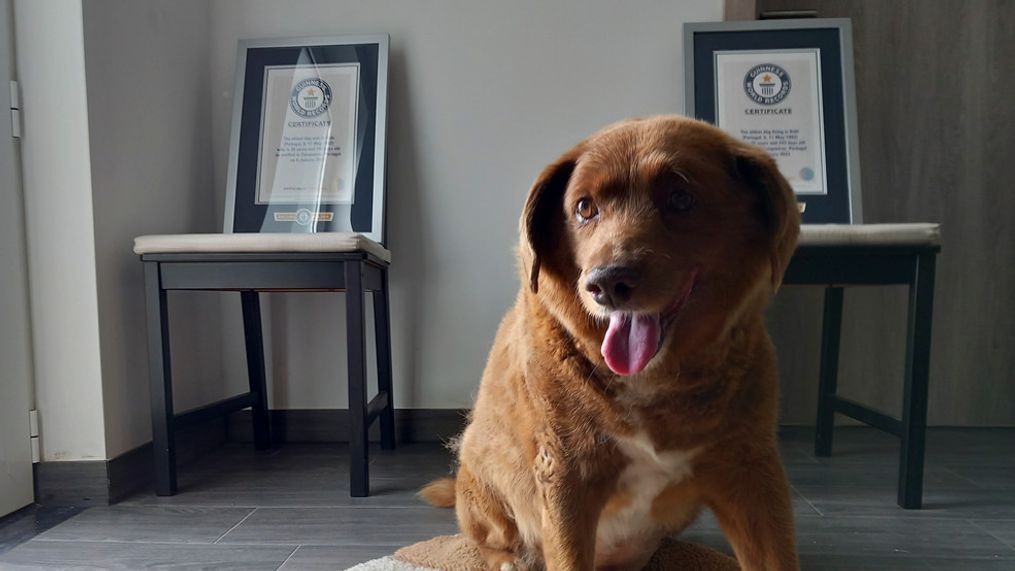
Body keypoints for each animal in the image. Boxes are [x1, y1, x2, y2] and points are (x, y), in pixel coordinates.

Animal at [420, 117, 799, 571]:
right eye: (585, 208)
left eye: (681, 198)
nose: (605, 283)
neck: (653, 381)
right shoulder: (566, 475)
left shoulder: (752, 471)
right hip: (482, 478)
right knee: (488, 539)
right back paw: (508, 559)